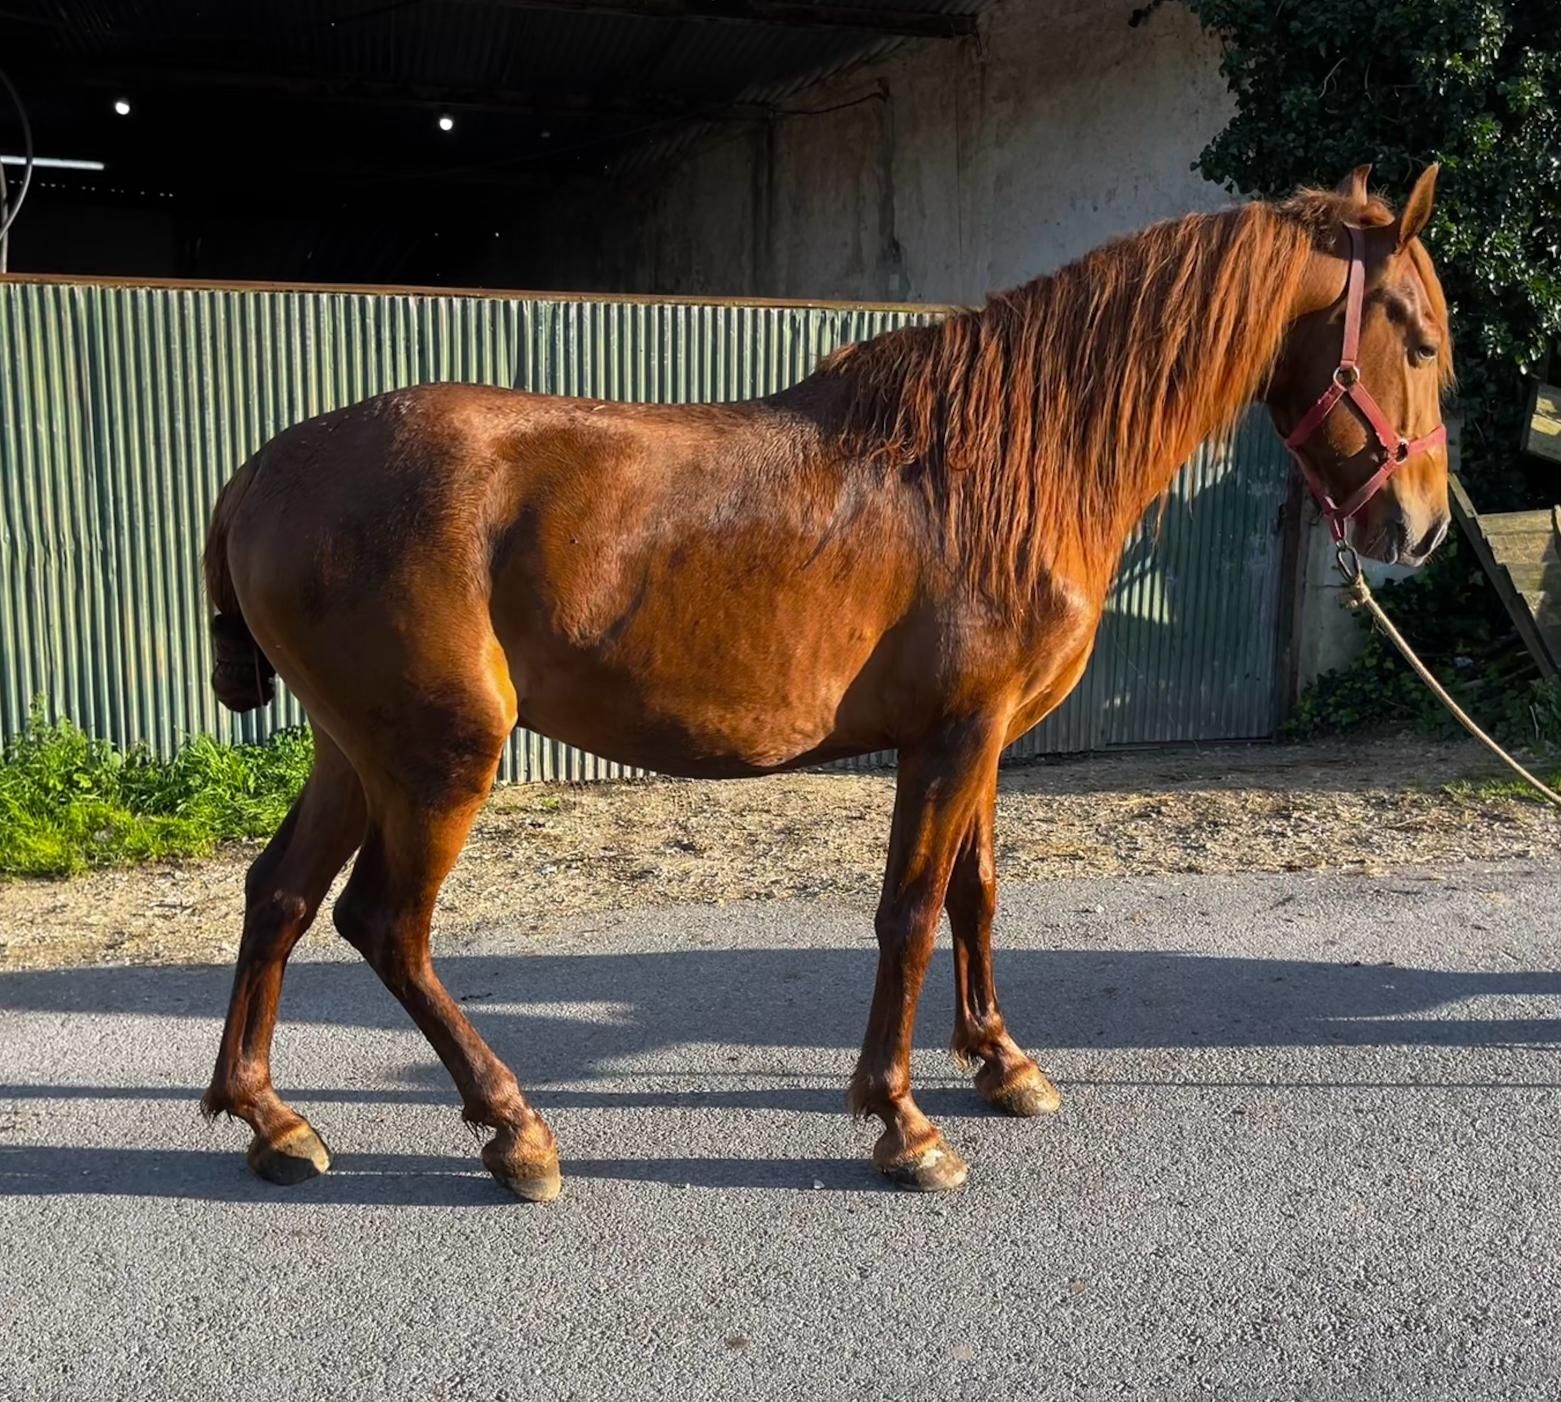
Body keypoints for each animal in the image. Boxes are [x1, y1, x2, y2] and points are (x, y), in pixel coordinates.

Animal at [204, 163, 1448, 1192]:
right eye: (1425, 340)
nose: (1420, 528)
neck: (1002, 462)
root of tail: (261, 472)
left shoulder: (981, 737)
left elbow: (973, 893)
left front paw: (1001, 1063)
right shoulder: (952, 737)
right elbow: (909, 911)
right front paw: (902, 1123)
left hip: (354, 751)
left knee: (280, 896)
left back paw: (271, 1119)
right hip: (439, 754)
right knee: (386, 923)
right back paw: (515, 1129)